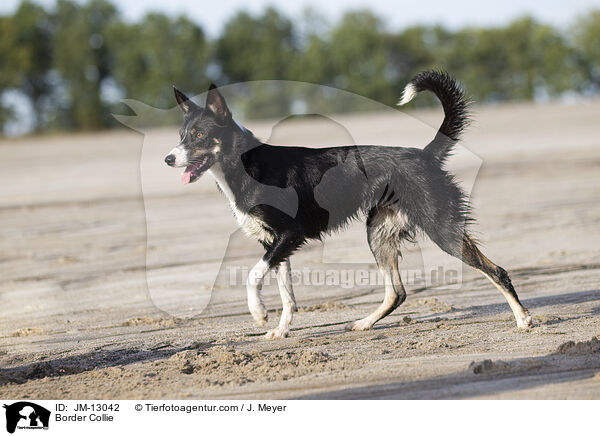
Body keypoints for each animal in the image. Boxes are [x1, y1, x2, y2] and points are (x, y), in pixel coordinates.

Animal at [166, 70, 532, 338]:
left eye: (199, 135)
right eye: (182, 135)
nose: (168, 159)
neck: (245, 164)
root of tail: (425, 154)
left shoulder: (289, 235)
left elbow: (253, 275)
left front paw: (258, 314)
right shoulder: (275, 244)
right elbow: (286, 294)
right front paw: (281, 330)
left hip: (442, 229)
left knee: (497, 271)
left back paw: (523, 319)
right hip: (379, 232)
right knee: (396, 292)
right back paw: (364, 323)